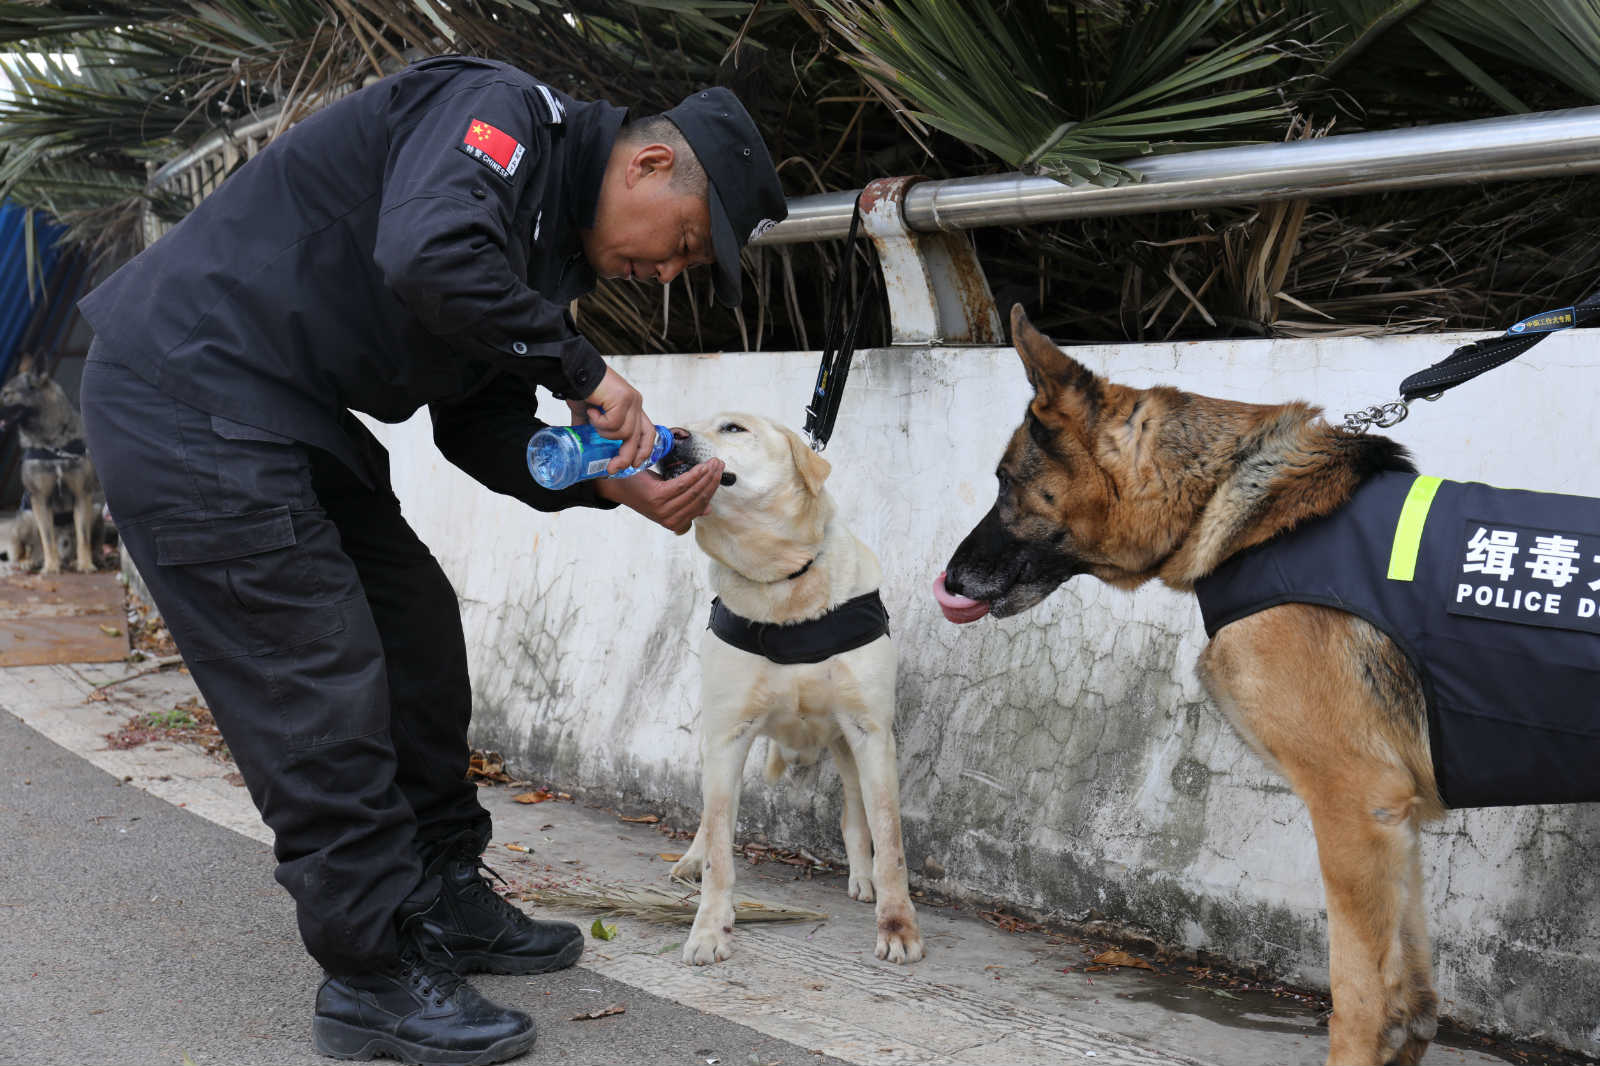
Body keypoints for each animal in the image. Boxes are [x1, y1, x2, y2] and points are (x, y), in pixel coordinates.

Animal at [0, 352, 105, 573]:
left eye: (7, 394)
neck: (52, 444)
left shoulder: (82, 495)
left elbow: (83, 536)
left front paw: (85, 564)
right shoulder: (40, 499)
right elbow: (47, 538)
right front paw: (50, 568)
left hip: (96, 507)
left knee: (92, 542)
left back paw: (87, 559)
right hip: (26, 516)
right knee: (24, 549)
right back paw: (29, 561)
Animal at [652, 409, 928, 966]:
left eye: (734, 427)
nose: (673, 436)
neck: (782, 581)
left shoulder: (870, 731)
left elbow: (890, 840)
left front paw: (897, 926)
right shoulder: (729, 735)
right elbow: (720, 847)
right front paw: (710, 930)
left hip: (846, 747)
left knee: (855, 817)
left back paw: (862, 878)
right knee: (710, 822)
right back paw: (690, 859)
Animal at [934, 305, 1580, 1062]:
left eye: (1006, 481)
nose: (950, 580)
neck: (1234, 507)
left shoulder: (1353, 804)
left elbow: (1362, 1003)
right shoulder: (1394, 818)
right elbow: (1415, 1004)